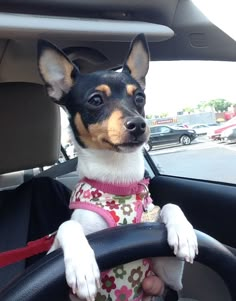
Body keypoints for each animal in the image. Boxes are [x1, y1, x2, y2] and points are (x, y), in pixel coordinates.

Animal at [38, 34, 197, 298]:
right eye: (95, 100)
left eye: (140, 98)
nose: (139, 124)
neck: (118, 178)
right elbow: (67, 224)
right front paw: (82, 266)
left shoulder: (169, 274)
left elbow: (170, 205)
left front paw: (184, 233)